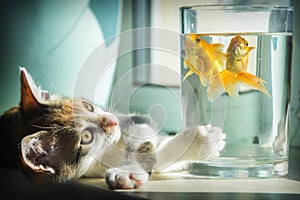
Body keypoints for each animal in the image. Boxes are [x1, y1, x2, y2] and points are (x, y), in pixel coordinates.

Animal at [0, 67, 225, 189]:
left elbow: (145, 136)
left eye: (88, 106)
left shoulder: (136, 121)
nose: (112, 120)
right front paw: (128, 173)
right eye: (86, 137)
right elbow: (160, 158)